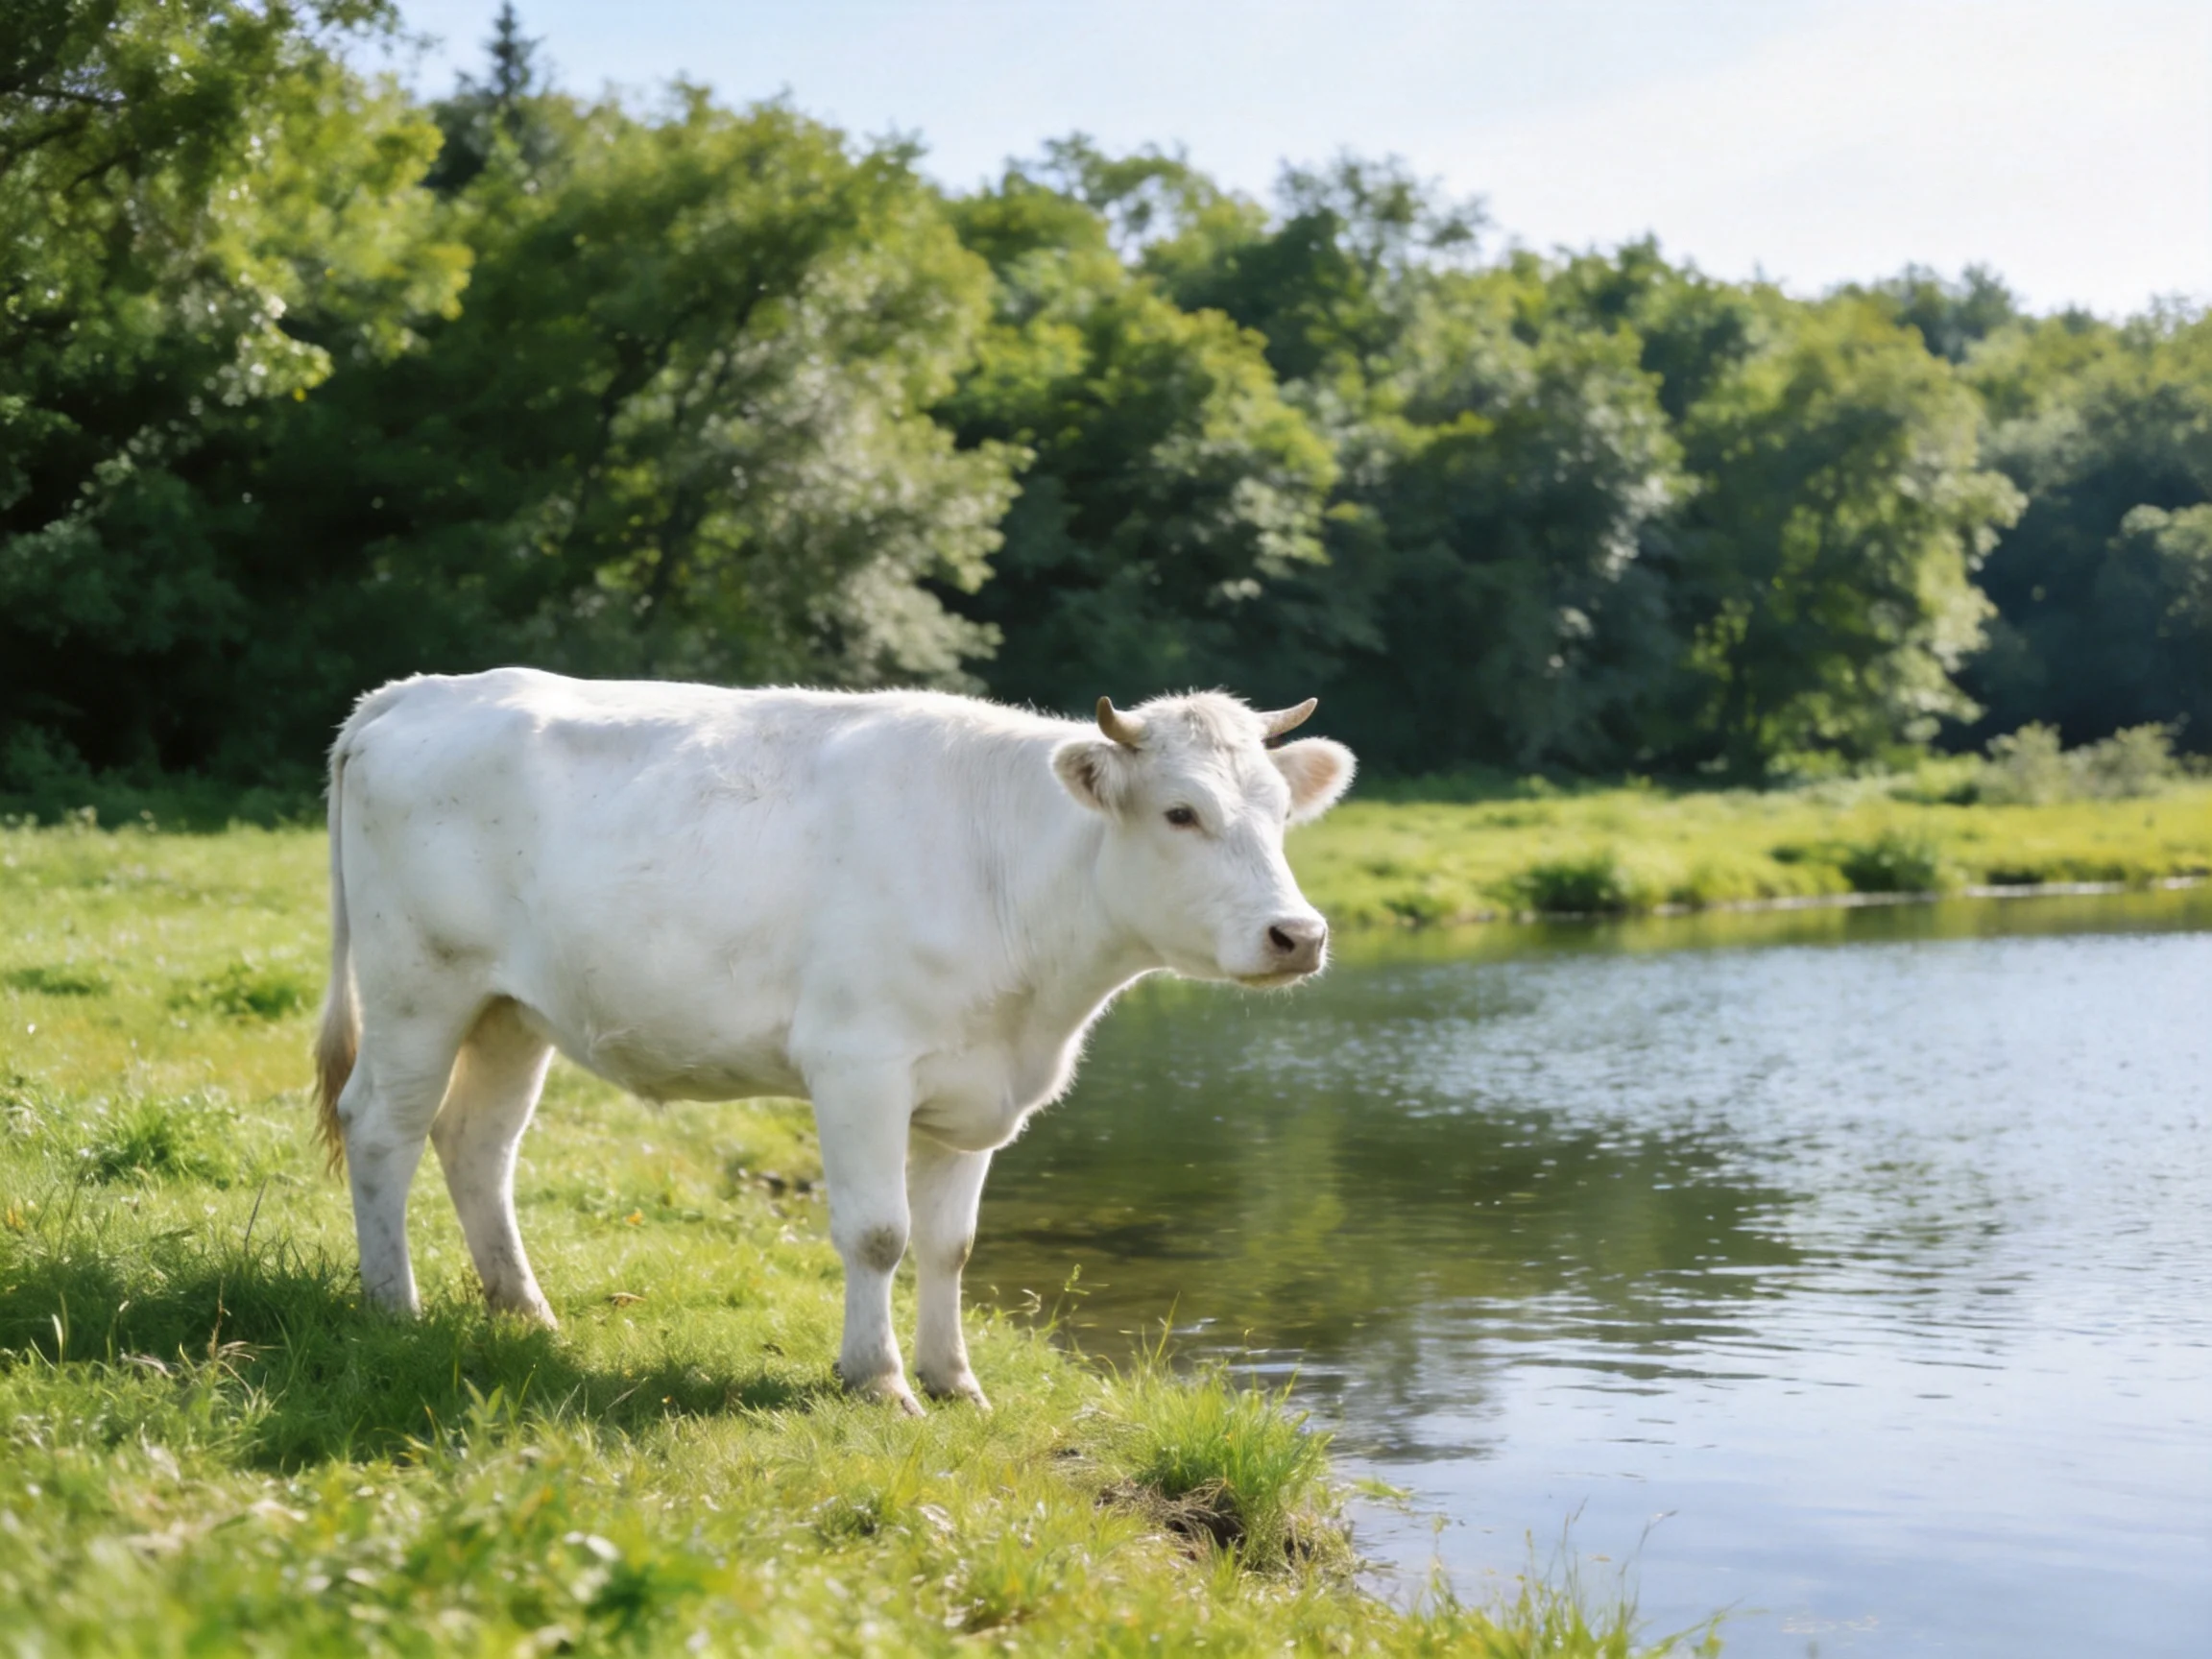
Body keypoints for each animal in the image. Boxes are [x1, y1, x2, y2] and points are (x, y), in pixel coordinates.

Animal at [313, 668, 1355, 1413]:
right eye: (1181, 812)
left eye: (1279, 814)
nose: (1298, 935)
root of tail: (412, 692)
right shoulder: (859, 1066)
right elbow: (879, 1232)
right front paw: (880, 1380)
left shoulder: (971, 1091)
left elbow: (951, 1247)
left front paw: (955, 1380)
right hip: (417, 987)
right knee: (382, 1130)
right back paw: (394, 1307)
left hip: (508, 1010)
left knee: (477, 1144)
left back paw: (525, 1312)